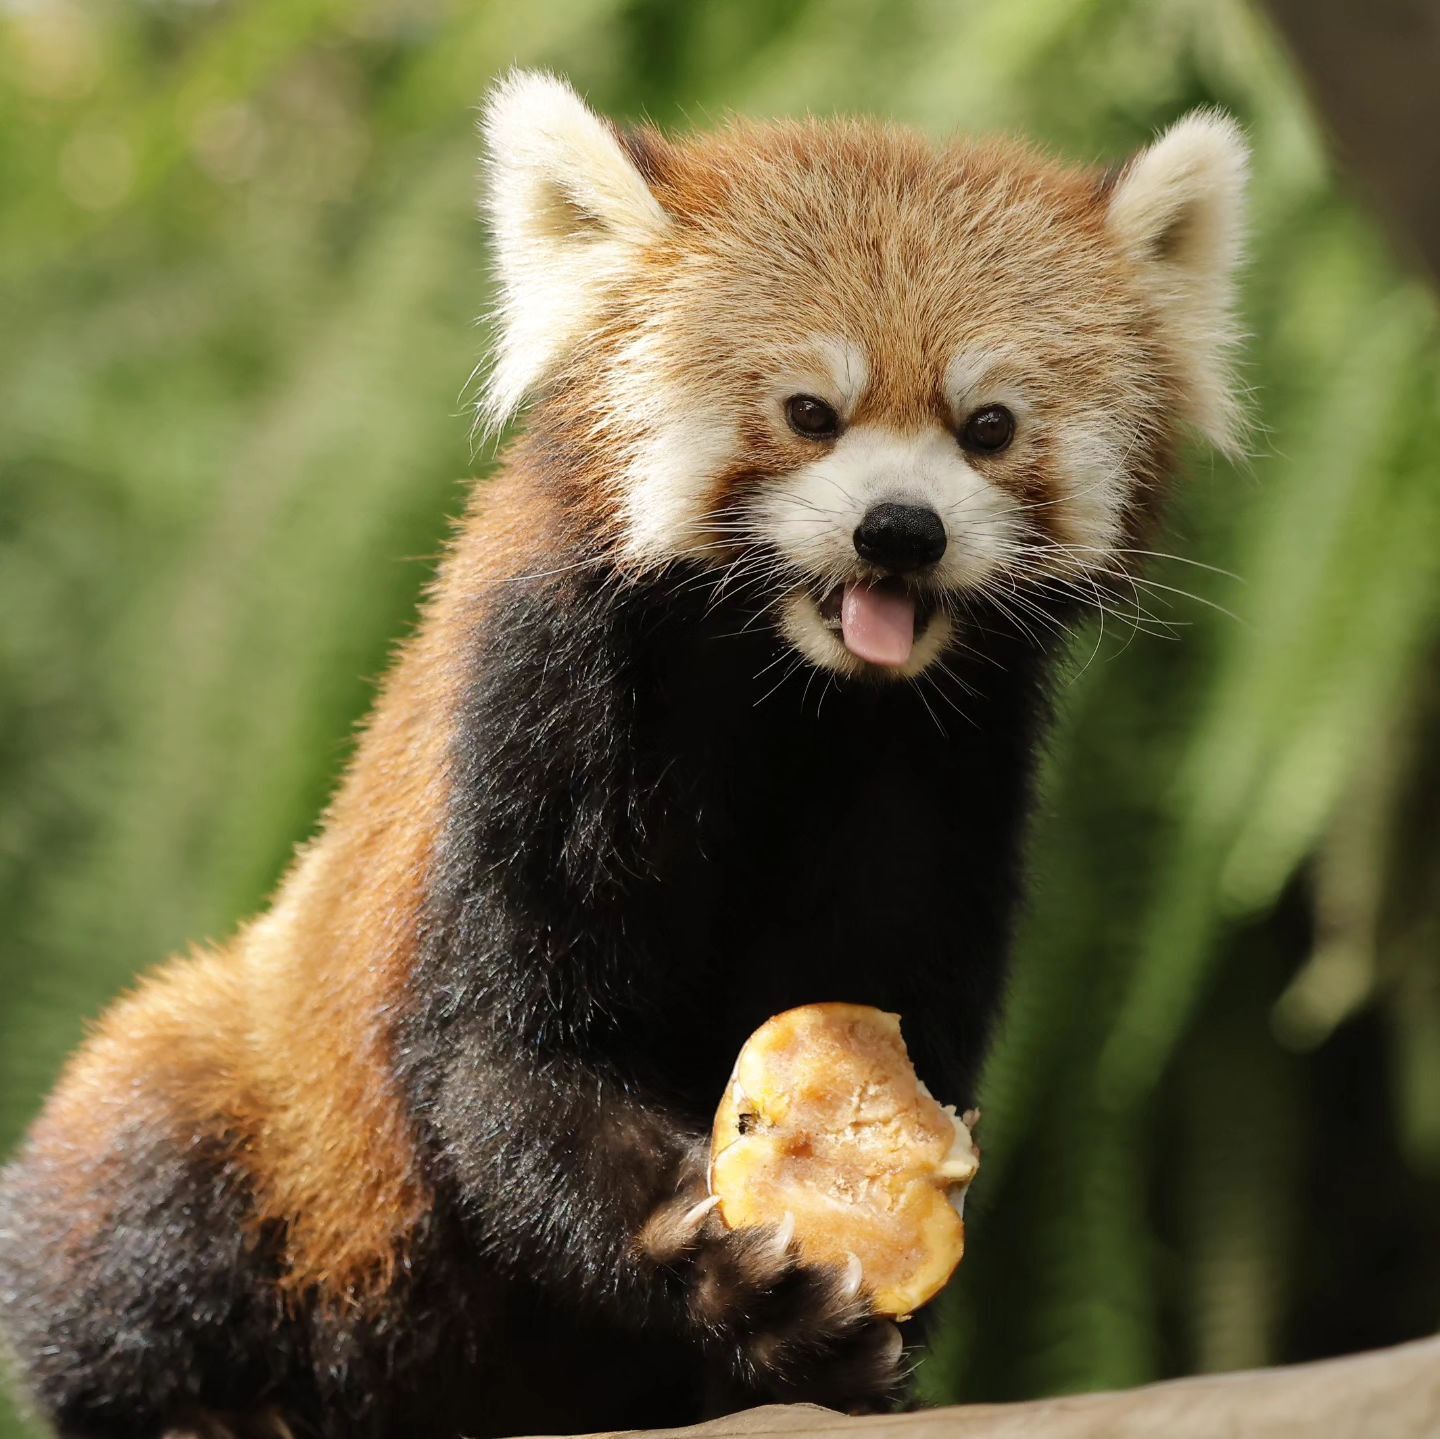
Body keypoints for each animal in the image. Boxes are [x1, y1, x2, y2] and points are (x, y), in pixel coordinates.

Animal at [0, 73, 1238, 1439]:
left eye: (990, 425)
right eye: (810, 412)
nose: (901, 530)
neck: (793, 689)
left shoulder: (939, 766)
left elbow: (896, 995)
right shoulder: (544, 705)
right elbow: (501, 1054)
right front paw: (729, 1274)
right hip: (238, 1102)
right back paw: (205, 1406)